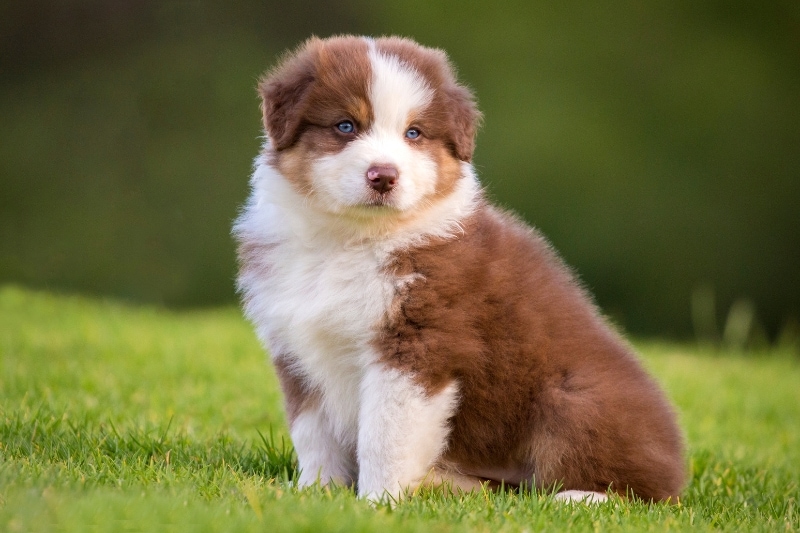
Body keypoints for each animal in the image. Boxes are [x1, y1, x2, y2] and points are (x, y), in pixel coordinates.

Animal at [233, 35, 688, 500]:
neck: (349, 239)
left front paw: (377, 501)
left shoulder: (417, 345)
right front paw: (314, 494)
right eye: (345, 126)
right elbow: (313, 433)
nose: (384, 176)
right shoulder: (297, 347)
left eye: (414, 133)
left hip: (572, 397)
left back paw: (578, 498)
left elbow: (384, 436)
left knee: (631, 488)